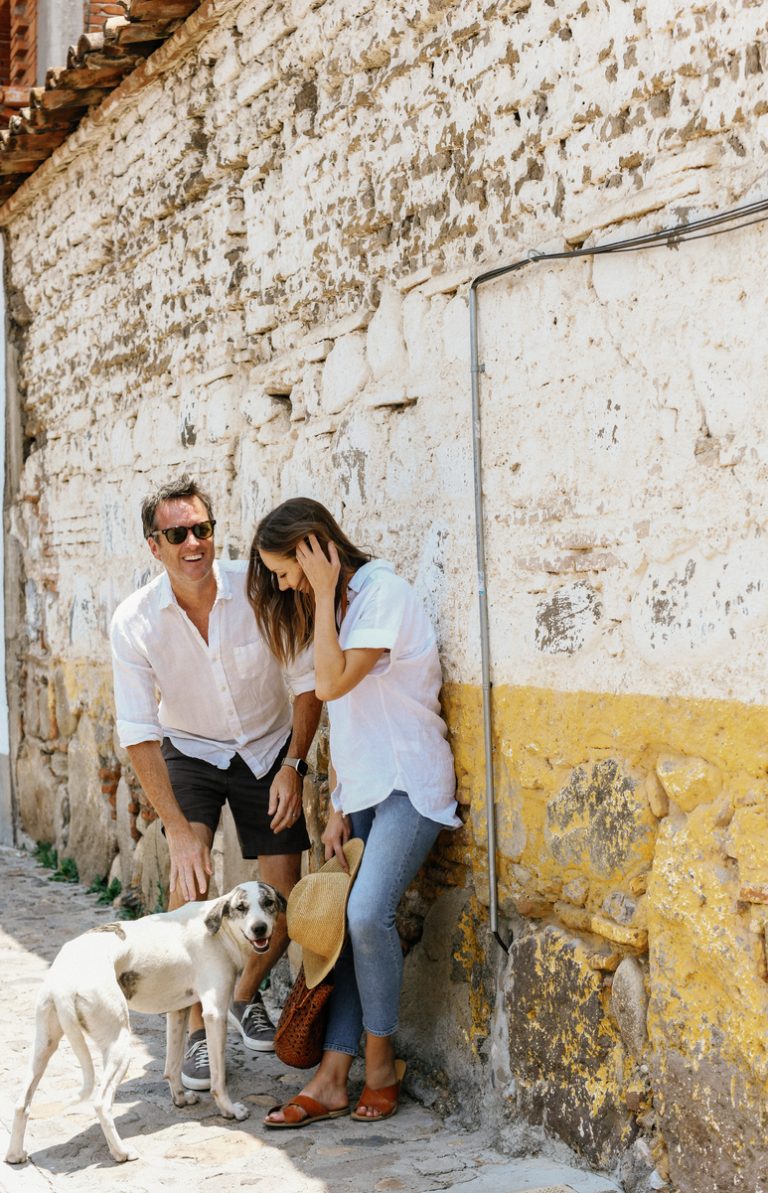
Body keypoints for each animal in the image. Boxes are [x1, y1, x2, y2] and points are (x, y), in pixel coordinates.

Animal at [5, 878, 288, 1164]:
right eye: (241, 907)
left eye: (268, 903)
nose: (259, 928)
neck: (219, 930)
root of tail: (64, 980)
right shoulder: (214, 1013)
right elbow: (218, 1079)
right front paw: (229, 1110)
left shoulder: (178, 1011)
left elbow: (172, 1066)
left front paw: (181, 1100)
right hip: (120, 1048)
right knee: (101, 1103)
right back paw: (121, 1152)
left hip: (44, 1047)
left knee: (21, 1103)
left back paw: (15, 1154)